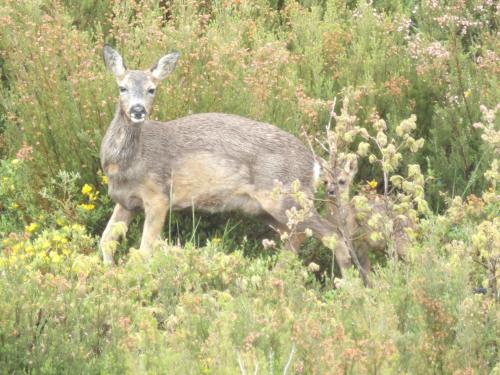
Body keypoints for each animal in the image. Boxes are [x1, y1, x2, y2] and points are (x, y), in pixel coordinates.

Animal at [98, 46, 352, 276]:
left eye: (152, 89)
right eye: (122, 87)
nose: (138, 110)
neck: (127, 165)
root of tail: (314, 163)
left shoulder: (159, 197)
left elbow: (144, 252)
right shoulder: (126, 202)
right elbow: (106, 239)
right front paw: (109, 273)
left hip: (287, 198)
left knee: (334, 234)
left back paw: (350, 285)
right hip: (265, 209)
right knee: (297, 235)